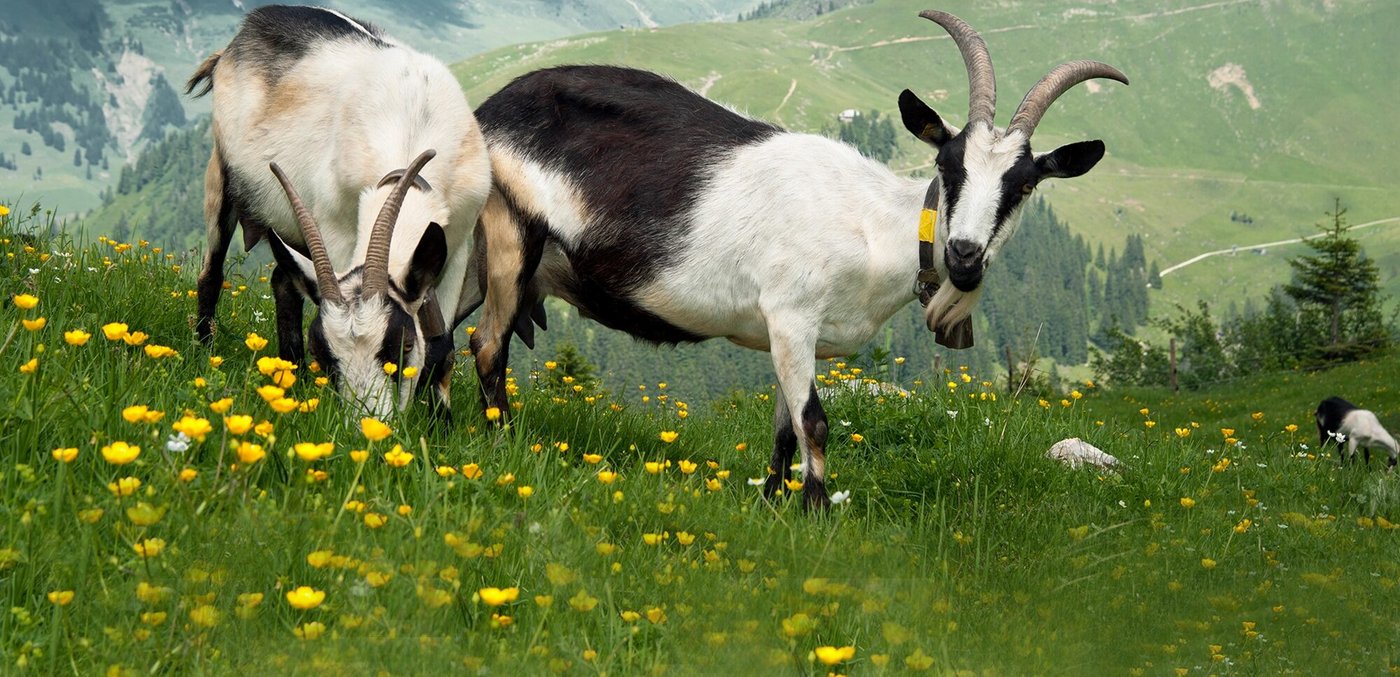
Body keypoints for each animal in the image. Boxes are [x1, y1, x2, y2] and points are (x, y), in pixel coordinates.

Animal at [186, 5, 491, 418]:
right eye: (325, 356)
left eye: (403, 346)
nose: (367, 424)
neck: (411, 122)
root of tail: (232, 46)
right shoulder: (336, 232)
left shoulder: (455, 247)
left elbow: (441, 348)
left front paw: (439, 423)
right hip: (220, 172)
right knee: (212, 273)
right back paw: (206, 355)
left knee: (284, 279)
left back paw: (289, 373)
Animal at [469, 10, 1126, 509]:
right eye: (948, 163)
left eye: (1023, 185)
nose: (964, 255)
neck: (873, 227)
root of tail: (487, 112)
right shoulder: (790, 316)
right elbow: (814, 422)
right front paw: (814, 513)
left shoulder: (790, 335)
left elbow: (785, 429)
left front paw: (773, 504)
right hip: (510, 234)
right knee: (486, 344)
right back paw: (499, 450)